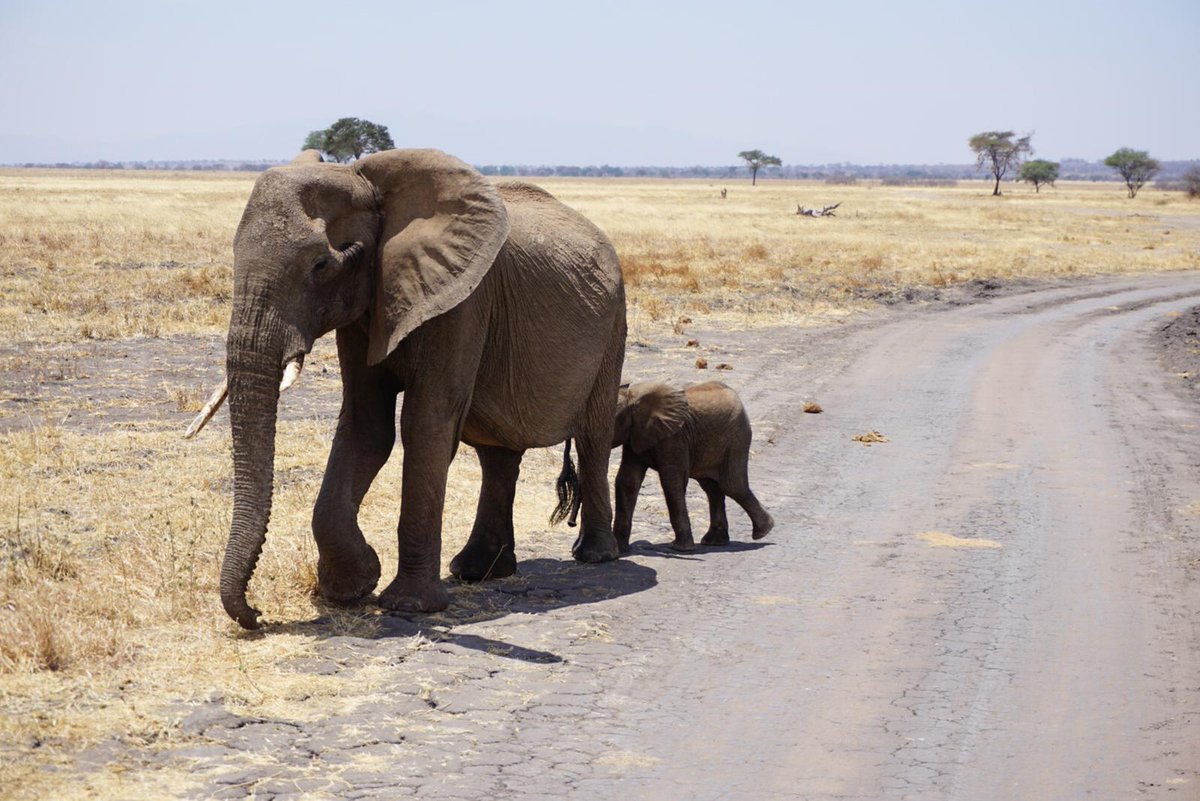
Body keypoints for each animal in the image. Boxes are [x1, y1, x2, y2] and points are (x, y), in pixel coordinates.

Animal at [187, 149, 627, 629]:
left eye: (320, 265)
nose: (256, 614)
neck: (365, 179)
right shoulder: (367, 304)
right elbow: (366, 425)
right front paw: (352, 587)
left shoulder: (463, 300)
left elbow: (425, 423)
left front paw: (408, 605)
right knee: (498, 455)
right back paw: (479, 571)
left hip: (613, 326)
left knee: (592, 437)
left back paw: (594, 556)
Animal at [607, 381, 773, 552]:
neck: (631, 397)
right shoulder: (635, 435)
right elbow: (628, 481)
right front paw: (621, 549)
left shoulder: (674, 437)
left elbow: (672, 483)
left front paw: (681, 548)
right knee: (712, 488)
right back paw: (714, 541)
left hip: (737, 438)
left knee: (732, 486)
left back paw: (763, 532)